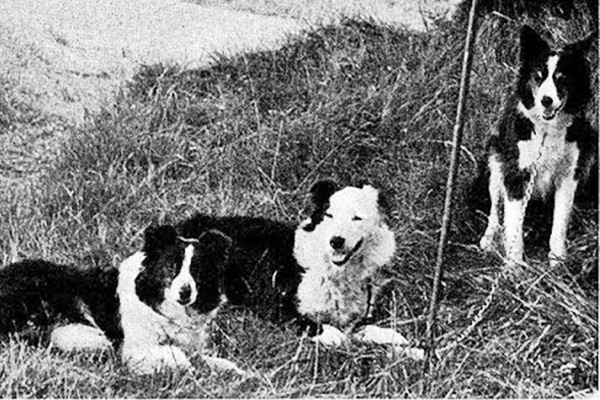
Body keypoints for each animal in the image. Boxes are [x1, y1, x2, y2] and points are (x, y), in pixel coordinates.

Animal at [0, 228, 244, 376]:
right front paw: (186, 367)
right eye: (171, 267)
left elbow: (215, 361)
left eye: (197, 271)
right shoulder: (134, 347)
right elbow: (177, 355)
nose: (185, 293)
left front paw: (239, 371)